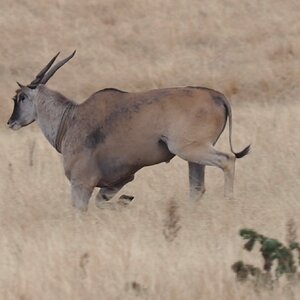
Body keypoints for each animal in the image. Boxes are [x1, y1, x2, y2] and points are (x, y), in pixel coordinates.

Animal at [7, 51, 251, 211]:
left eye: (21, 97)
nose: (10, 122)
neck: (70, 118)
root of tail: (216, 95)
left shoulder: (81, 183)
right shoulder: (117, 181)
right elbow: (103, 202)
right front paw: (127, 200)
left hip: (190, 149)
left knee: (227, 160)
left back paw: (229, 202)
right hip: (193, 157)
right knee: (197, 188)